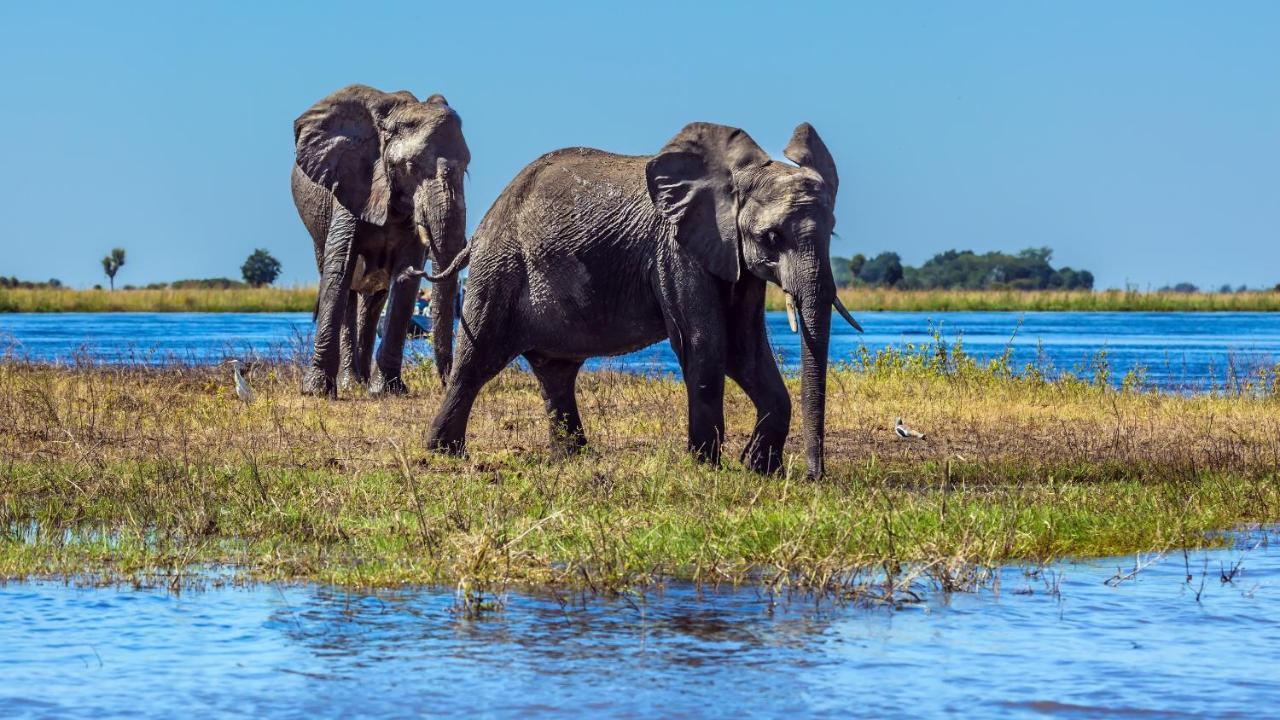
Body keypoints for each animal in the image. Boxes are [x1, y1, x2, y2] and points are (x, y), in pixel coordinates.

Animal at [291, 87, 471, 397]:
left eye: (467, 167)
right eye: (410, 166)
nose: (447, 383)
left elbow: (404, 283)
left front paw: (388, 390)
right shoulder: (351, 184)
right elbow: (339, 271)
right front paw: (316, 391)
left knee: (374, 301)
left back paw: (362, 382)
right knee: (347, 289)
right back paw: (351, 383)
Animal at [427, 121, 860, 479]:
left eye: (833, 232)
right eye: (771, 237)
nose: (814, 477)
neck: (738, 176)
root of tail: (482, 228)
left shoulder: (735, 259)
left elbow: (745, 348)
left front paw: (758, 468)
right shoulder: (675, 248)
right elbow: (705, 342)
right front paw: (706, 467)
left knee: (556, 372)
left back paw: (572, 457)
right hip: (499, 268)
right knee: (476, 362)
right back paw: (443, 455)